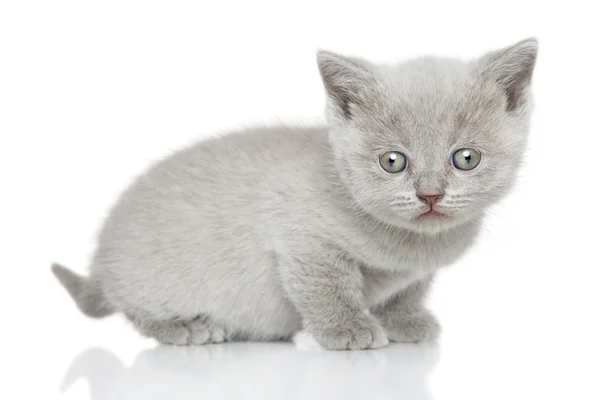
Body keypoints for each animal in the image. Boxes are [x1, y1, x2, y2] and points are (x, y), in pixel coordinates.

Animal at [52, 38, 540, 350]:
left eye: (466, 158)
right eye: (393, 161)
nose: (431, 195)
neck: (408, 248)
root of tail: (102, 264)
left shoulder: (414, 273)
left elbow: (407, 293)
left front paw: (404, 322)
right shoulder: (302, 240)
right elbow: (328, 288)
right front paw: (349, 330)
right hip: (150, 282)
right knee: (134, 310)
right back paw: (187, 329)